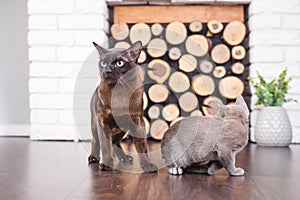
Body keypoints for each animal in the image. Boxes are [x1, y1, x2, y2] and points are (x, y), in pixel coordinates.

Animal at [88, 41, 157, 172]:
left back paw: (124, 158)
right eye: (103, 63)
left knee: (116, 142)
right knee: (96, 141)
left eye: (119, 63)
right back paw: (93, 158)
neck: (118, 91)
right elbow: (105, 146)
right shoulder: (103, 121)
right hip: (95, 125)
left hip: (122, 128)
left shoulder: (137, 120)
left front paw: (147, 165)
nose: (107, 71)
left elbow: (142, 146)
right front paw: (106, 165)